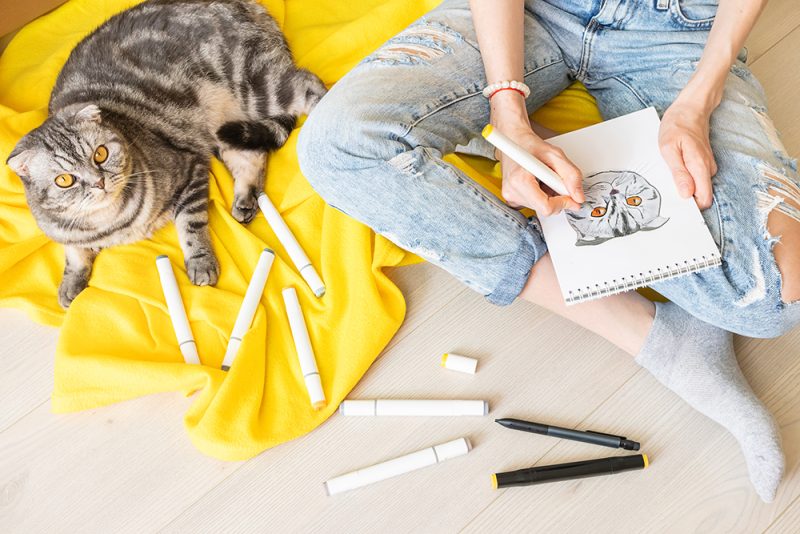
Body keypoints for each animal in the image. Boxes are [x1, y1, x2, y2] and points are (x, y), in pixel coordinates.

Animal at [6, 0, 324, 308]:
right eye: (64, 180)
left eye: (100, 154)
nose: (98, 182)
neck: (112, 224)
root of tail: (245, 5)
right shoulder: (65, 234)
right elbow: (73, 253)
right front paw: (70, 285)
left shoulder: (191, 168)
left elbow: (191, 225)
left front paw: (201, 263)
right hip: (224, 129)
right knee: (254, 155)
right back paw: (246, 200)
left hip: (257, 88)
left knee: (310, 85)